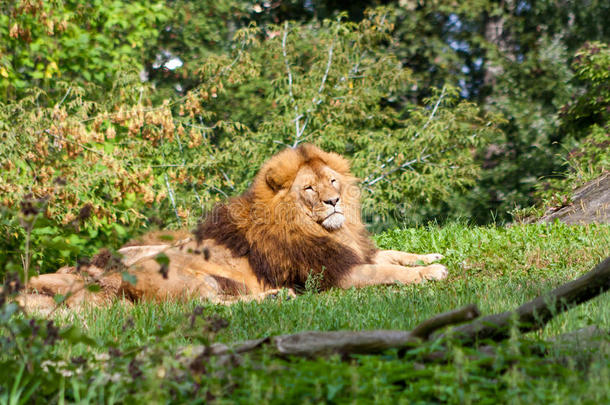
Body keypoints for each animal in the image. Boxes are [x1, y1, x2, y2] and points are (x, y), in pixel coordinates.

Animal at [22, 144, 446, 310]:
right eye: (309, 189)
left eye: (333, 181)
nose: (334, 202)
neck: (327, 229)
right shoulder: (333, 274)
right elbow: (388, 271)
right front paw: (432, 272)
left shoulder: (356, 251)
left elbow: (394, 254)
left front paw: (432, 254)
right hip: (189, 277)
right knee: (203, 305)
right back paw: (278, 297)